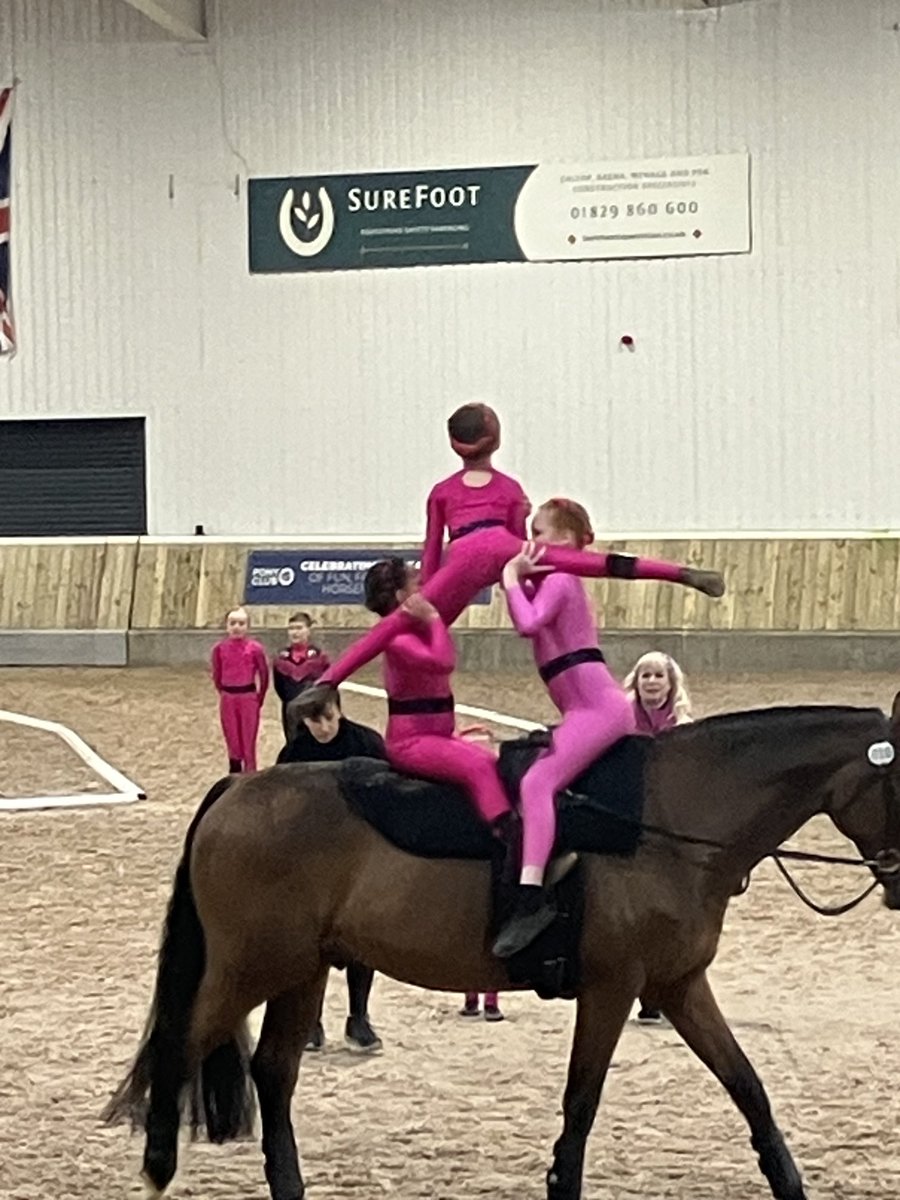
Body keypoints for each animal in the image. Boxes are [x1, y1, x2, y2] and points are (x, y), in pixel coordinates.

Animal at [102, 696, 900, 1200]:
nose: (897, 884)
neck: (664, 821)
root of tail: (238, 791)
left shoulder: (677, 987)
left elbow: (747, 1086)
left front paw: (789, 1181)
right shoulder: (614, 987)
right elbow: (582, 1101)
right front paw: (561, 1183)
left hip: (300, 970)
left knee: (273, 1072)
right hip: (251, 967)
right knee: (178, 1043)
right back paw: (156, 1164)